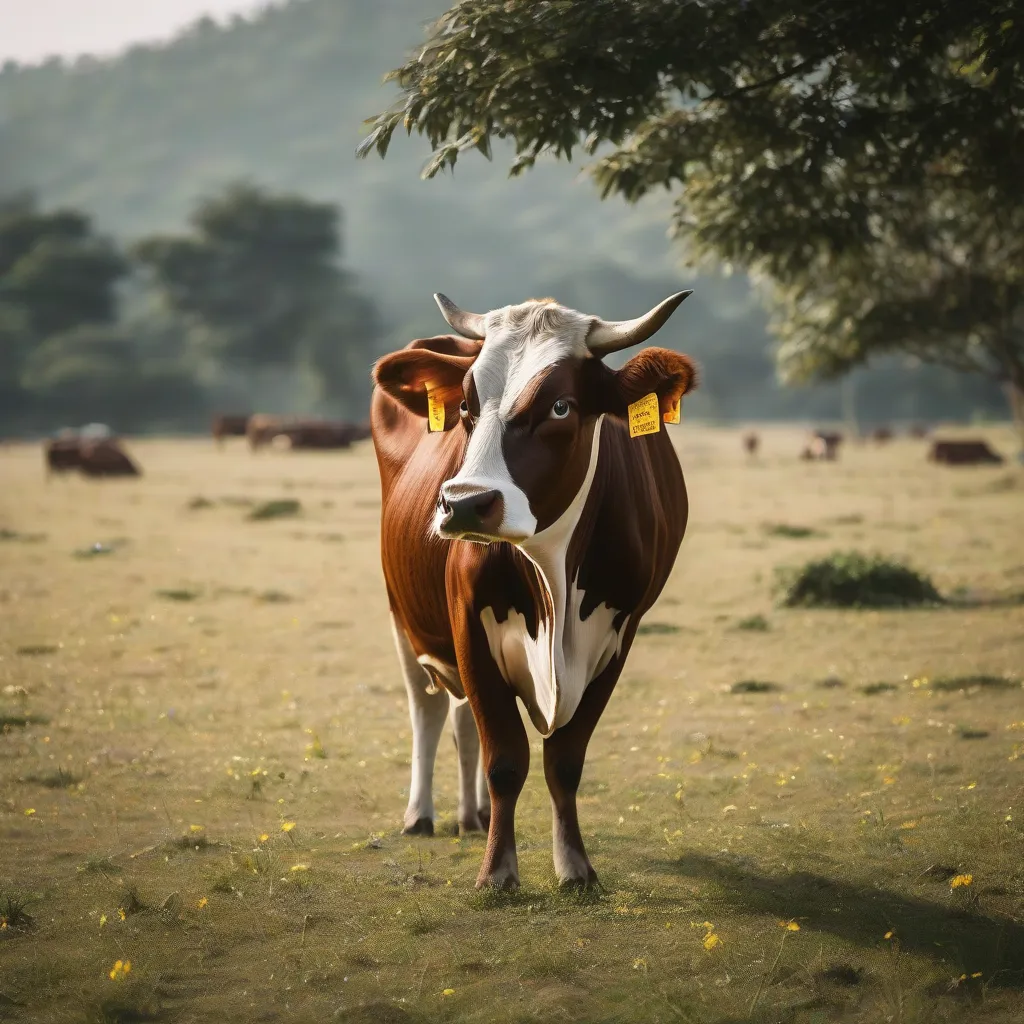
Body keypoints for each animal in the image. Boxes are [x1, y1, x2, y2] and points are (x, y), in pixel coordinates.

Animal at [371, 291, 696, 889]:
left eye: (561, 407)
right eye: (467, 407)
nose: (464, 504)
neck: (554, 583)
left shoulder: (620, 636)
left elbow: (564, 759)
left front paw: (575, 867)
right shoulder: (466, 622)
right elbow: (504, 758)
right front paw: (498, 871)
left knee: (461, 721)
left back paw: (471, 816)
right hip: (403, 610)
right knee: (428, 709)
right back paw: (421, 815)